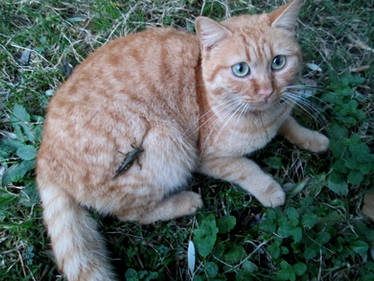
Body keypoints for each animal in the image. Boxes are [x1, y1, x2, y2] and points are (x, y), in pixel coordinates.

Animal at [35, 1, 328, 278]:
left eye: (278, 62)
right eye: (241, 69)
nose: (267, 91)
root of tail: (43, 157)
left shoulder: (280, 112)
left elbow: (290, 123)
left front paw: (315, 139)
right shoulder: (207, 158)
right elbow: (247, 168)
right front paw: (270, 190)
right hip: (167, 143)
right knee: (132, 213)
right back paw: (186, 202)